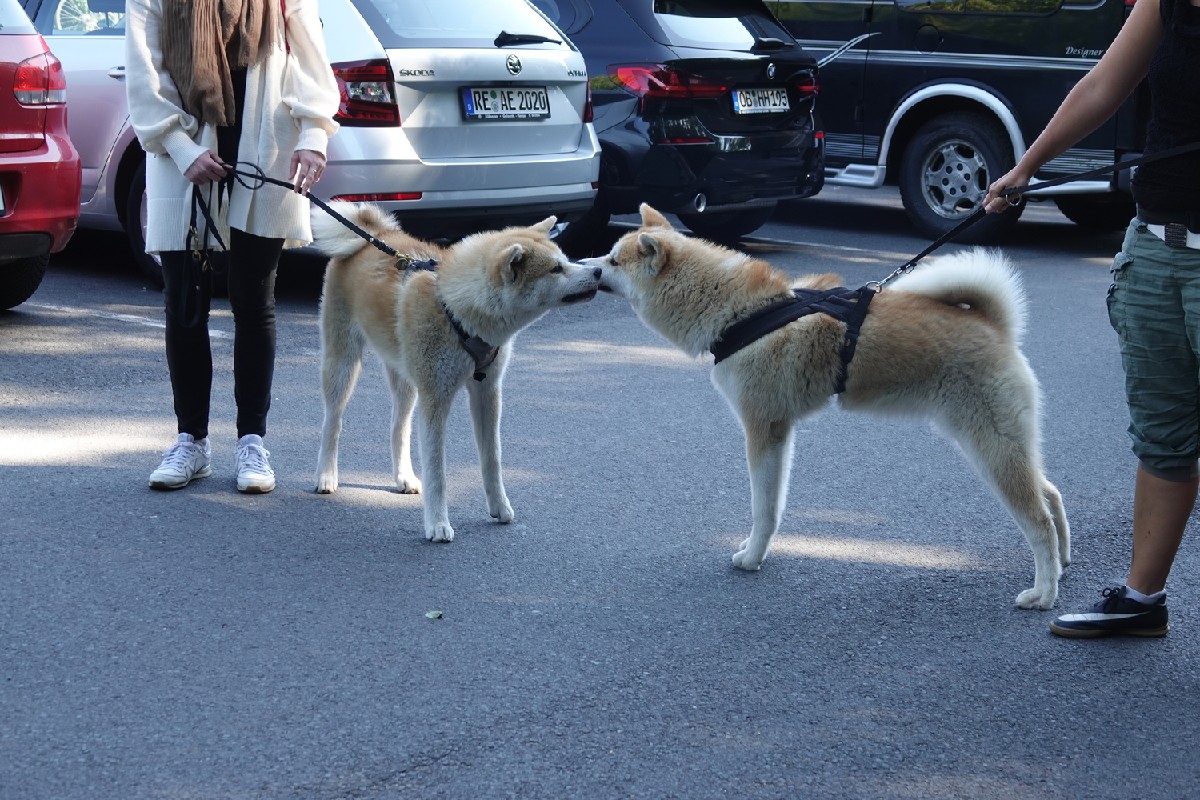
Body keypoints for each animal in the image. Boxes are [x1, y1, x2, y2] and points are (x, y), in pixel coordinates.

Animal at [311, 202, 601, 542]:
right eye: (556, 269)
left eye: (565, 259)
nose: (597, 271)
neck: (458, 309)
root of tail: (373, 234)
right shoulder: (436, 398)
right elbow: (437, 470)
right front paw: (437, 523)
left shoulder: (487, 392)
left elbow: (492, 458)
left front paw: (499, 506)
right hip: (343, 363)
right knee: (333, 422)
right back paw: (326, 475)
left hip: (407, 380)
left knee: (399, 428)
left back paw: (403, 477)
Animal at [586, 204, 1070, 609]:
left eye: (614, 261)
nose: (587, 267)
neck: (737, 310)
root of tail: (995, 324)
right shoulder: (781, 431)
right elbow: (774, 505)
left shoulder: (762, 428)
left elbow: (763, 508)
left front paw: (752, 557)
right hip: (1000, 442)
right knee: (1050, 494)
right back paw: (1064, 561)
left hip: (989, 447)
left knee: (1037, 520)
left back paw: (1044, 593)